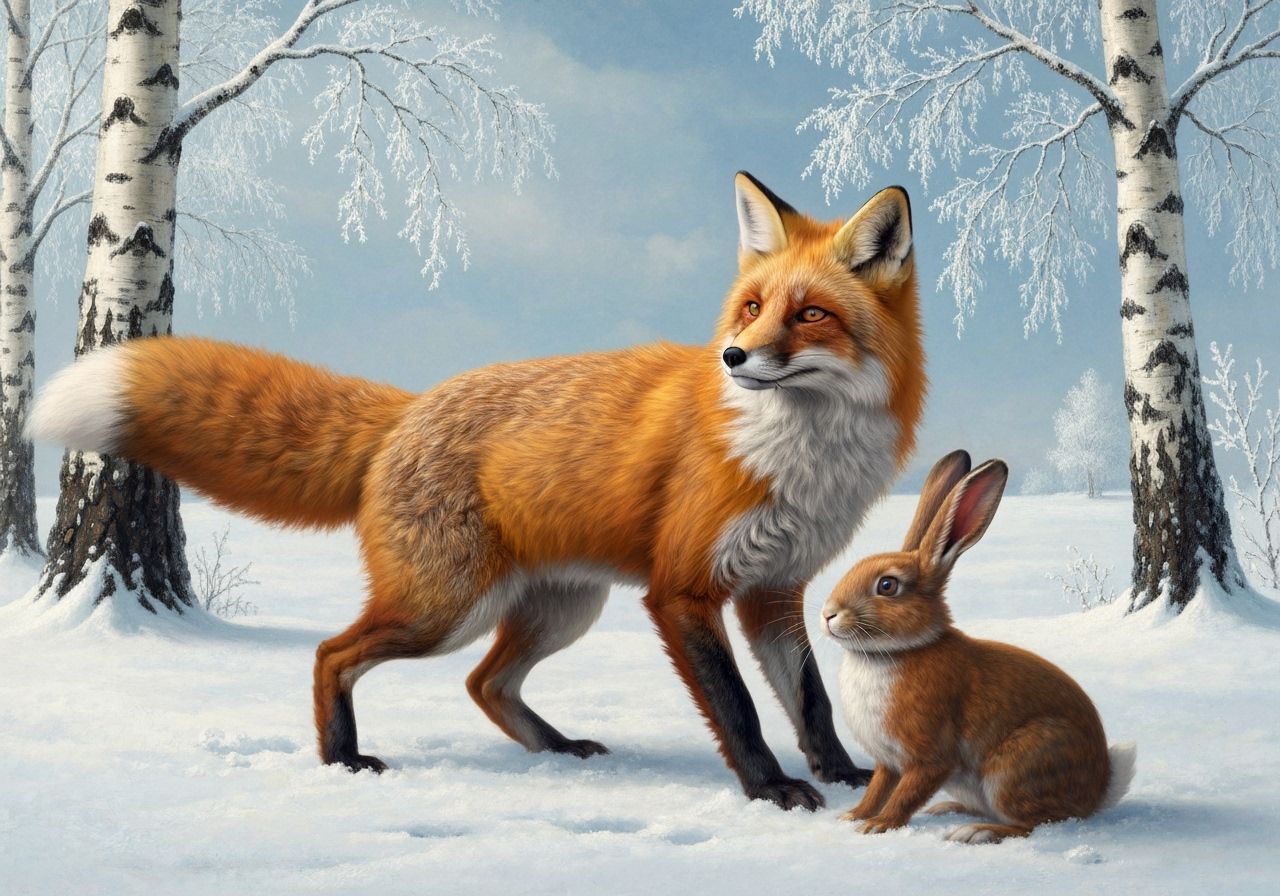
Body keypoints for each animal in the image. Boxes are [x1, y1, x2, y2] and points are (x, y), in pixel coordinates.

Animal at [29, 172, 925, 810]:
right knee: (334, 653)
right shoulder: (683, 590)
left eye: (808, 315)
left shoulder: (775, 589)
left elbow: (810, 701)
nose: (734, 358)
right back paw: (342, 759)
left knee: (485, 683)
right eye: (750, 308)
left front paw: (844, 776)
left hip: (558, 609)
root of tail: (412, 405)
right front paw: (770, 790)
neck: (796, 452)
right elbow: (738, 708)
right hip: (445, 607)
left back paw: (557, 751)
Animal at [820, 450, 1136, 843]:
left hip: (1017, 766)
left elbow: (906, 794)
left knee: (1033, 824)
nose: (827, 614)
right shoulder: (888, 762)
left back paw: (975, 831)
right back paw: (949, 808)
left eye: (888, 586)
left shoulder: (930, 757)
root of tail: (1098, 791)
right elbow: (878, 787)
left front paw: (879, 825)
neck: (898, 651)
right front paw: (853, 816)